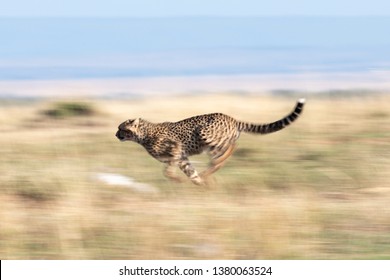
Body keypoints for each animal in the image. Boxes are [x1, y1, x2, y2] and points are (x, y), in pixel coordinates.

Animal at [116, 99, 304, 186]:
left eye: (122, 128)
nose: (116, 134)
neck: (143, 134)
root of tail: (231, 118)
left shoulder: (176, 149)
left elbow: (168, 172)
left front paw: (182, 180)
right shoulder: (182, 157)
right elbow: (189, 172)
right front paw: (200, 183)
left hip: (206, 134)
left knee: (229, 148)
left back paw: (213, 167)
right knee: (225, 152)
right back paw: (208, 173)